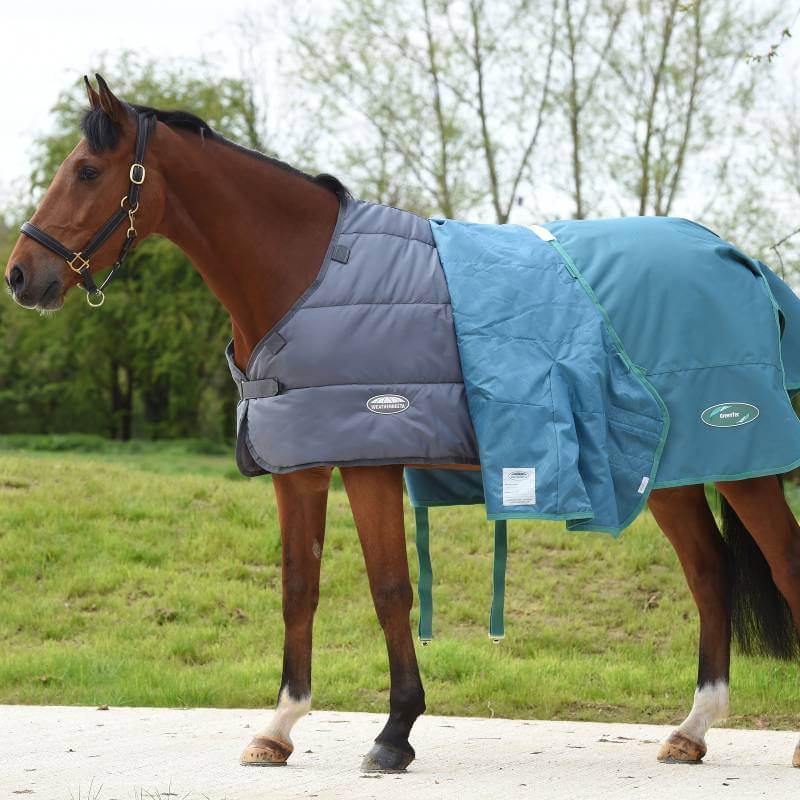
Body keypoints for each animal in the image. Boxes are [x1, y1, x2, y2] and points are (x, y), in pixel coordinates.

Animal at [6, 74, 800, 773]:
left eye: (86, 171)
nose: (20, 276)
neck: (305, 276)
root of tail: (737, 257)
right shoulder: (300, 466)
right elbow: (299, 587)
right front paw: (279, 728)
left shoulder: (370, 460)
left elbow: (390, 588)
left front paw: (394, 734)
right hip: (671, 471)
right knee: (708, 573)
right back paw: (692, 730)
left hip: (744, 464)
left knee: (782, 563)